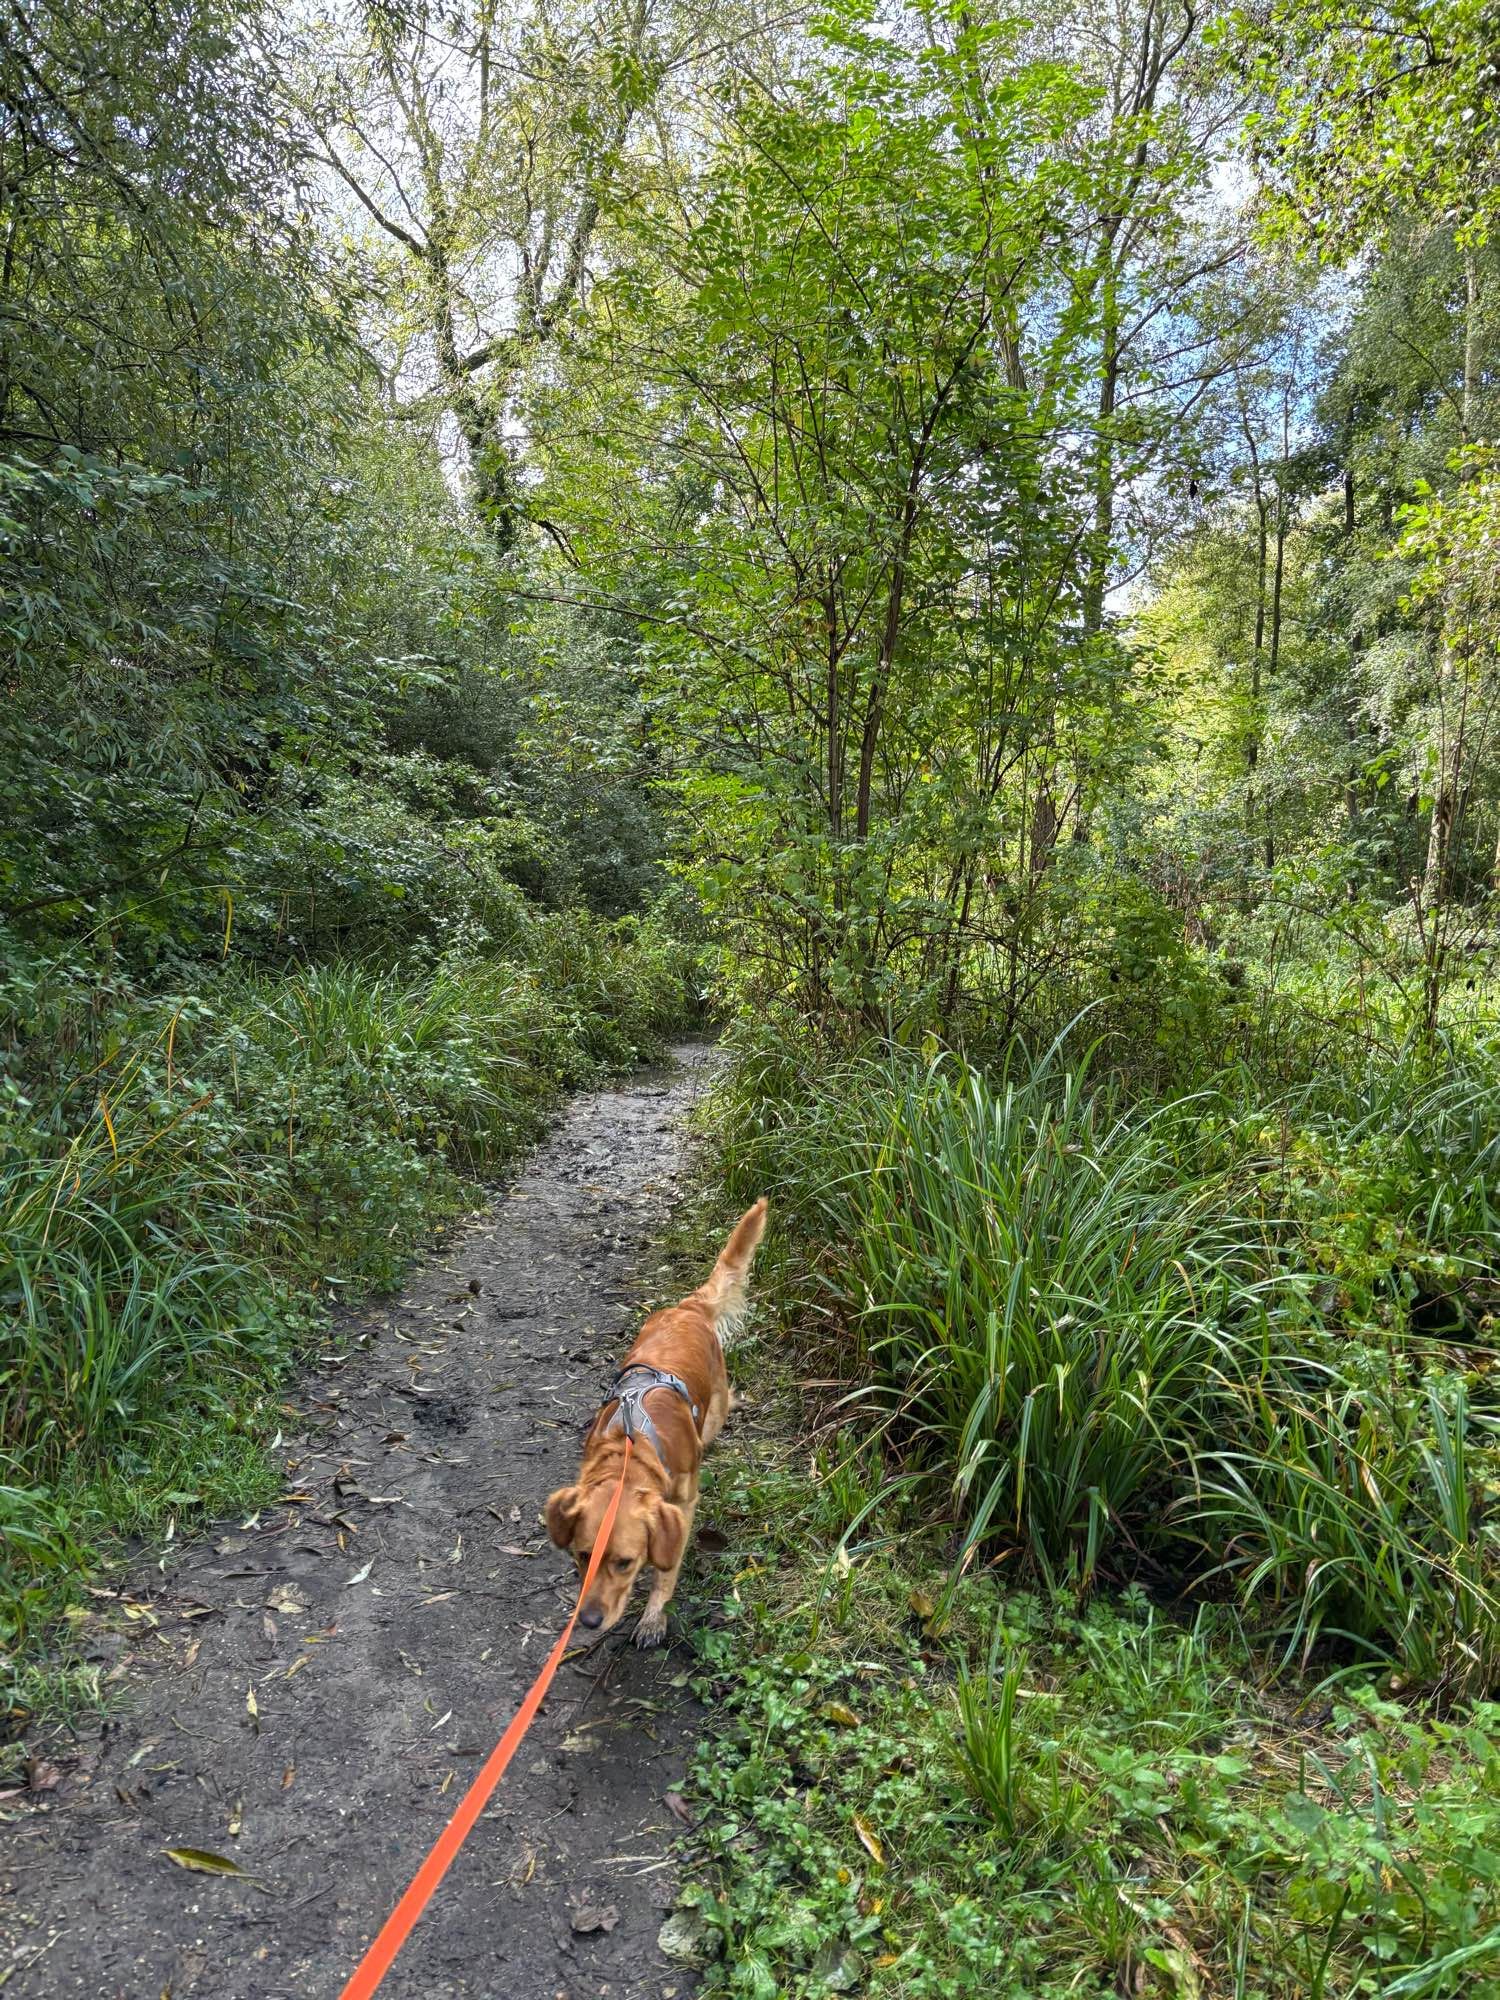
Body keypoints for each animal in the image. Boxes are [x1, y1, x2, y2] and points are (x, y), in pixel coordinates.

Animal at [548, 1200, 768, 1640]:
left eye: (625, 1563)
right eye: (582, 1556)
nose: (590, 1620)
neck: (631, 1451)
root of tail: (687, 1308)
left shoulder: (682, 1504)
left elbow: (666, 1570)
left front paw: (653, 1616)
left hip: (714, 1410)